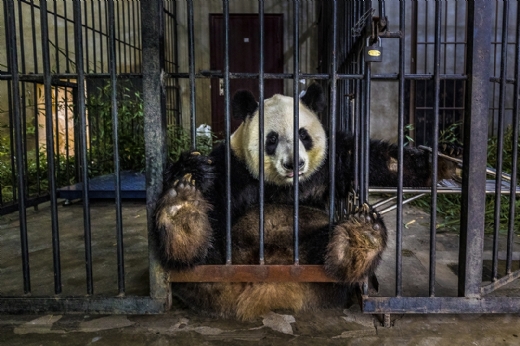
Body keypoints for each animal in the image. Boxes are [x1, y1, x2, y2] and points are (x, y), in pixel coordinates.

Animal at [151, 82, 460, 320]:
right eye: (271, 138)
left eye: (303, 134)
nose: (294, 164)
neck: (284, 184)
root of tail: (270, 289)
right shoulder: (234, 165)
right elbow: (214, 190)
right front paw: (192, 169)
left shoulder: (334, 160)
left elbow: (382, 161)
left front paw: (442, 162)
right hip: (224, 257)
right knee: (203, 253)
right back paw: (182, 218)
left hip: (312, 250)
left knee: (329, 257)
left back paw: (359, 240)